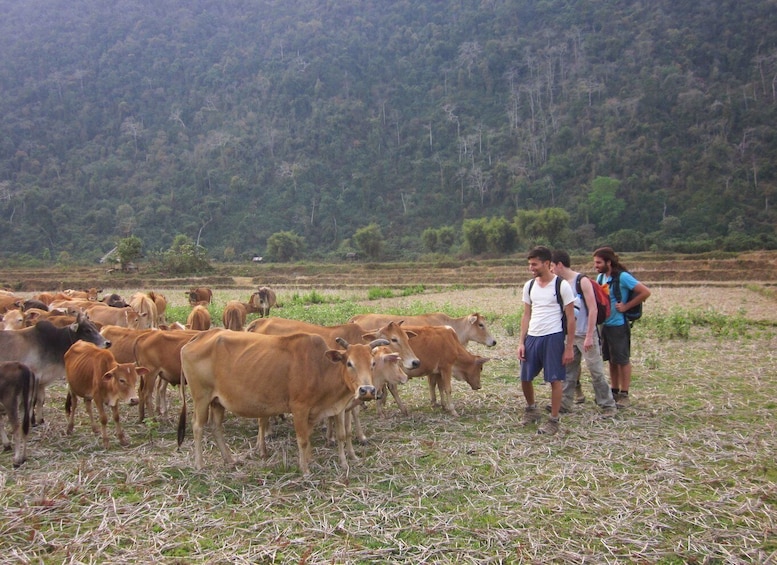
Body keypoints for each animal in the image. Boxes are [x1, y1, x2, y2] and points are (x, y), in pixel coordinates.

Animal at [180, 330, 378, 472]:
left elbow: (321, 437)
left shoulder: (319, 411)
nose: (367, 390)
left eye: (373, 363)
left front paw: (315, 460)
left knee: (216, 427)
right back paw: (200, 465)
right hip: (201, 398)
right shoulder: (299, 408)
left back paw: (230, 460)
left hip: (217, 401)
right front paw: (305, 470)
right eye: (349, 363)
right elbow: (302, 439)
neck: (320, 368)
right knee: (197, 426)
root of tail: (199, 336)